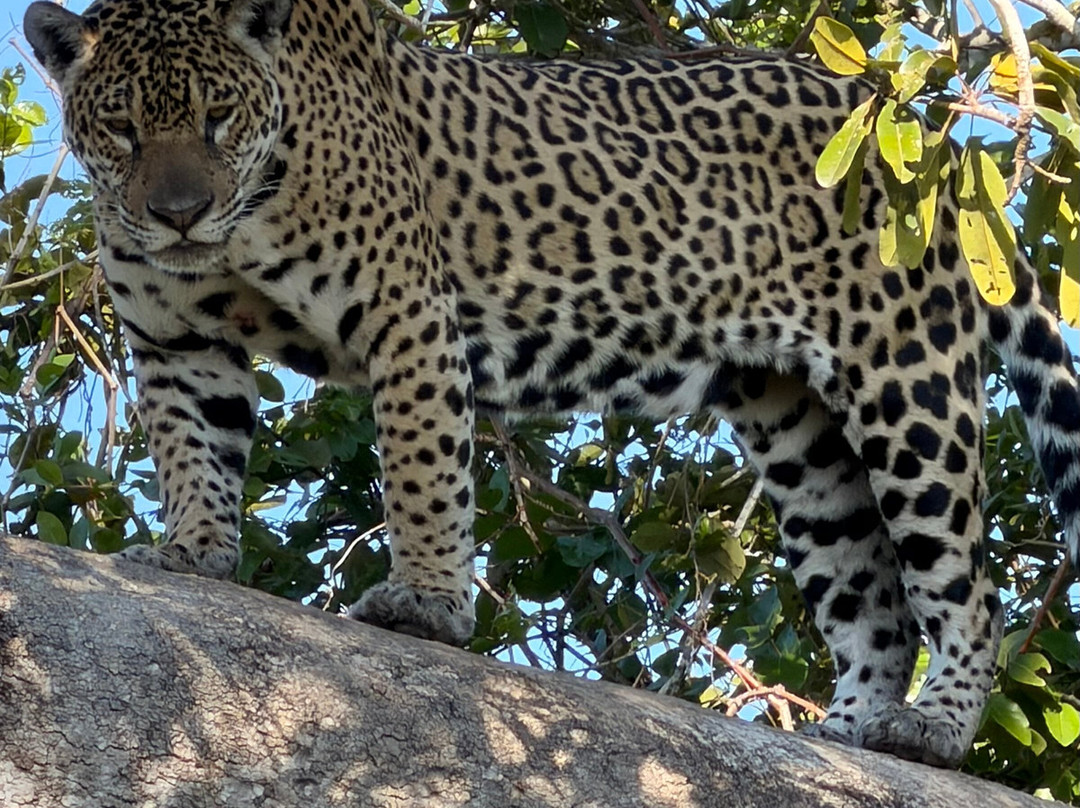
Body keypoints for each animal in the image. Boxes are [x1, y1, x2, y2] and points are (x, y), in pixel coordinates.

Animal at [23, 0, 1080, 768]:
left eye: (219, 117)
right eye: (119, 127)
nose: (179, 213)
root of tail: (924, 136)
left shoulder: (407, 313)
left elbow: (422, 474)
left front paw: (428, 607)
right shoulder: (174, 341)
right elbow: (191, 450)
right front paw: (193, 553)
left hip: (907, 379)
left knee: (965, 585)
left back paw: (932, 731)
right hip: (799, 429)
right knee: (874, 598)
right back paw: (850, 735)